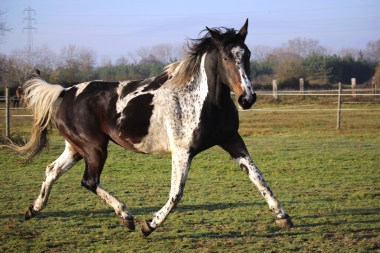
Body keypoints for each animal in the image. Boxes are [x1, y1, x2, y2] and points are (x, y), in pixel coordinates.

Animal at [5, 19, 294, 235]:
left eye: (247, 55)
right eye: (225, 57)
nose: (247, 98)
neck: (202, 100)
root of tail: (66, 91)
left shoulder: (232, 140)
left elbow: (258, 177)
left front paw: (282, 216)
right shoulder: (182, 151)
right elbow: (176, 194)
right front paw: (149, 225)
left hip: (77, 148)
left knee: (52, 170)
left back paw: (33, 209)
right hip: (95, 148)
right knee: (89, 181)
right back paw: (126, 216)